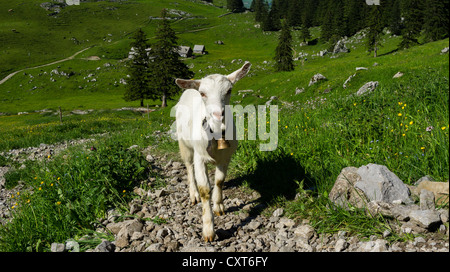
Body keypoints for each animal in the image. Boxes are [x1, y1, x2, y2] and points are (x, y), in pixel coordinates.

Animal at [174, 62, 251, 242]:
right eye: (203, 93)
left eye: (229, 90)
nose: (218, 114)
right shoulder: (200, 157)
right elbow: (204, 190)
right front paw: (208, 231)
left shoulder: (226, 157)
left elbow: (219, 181)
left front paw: (219, 206)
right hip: (185, 145)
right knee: (189, 167)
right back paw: (193, 194)